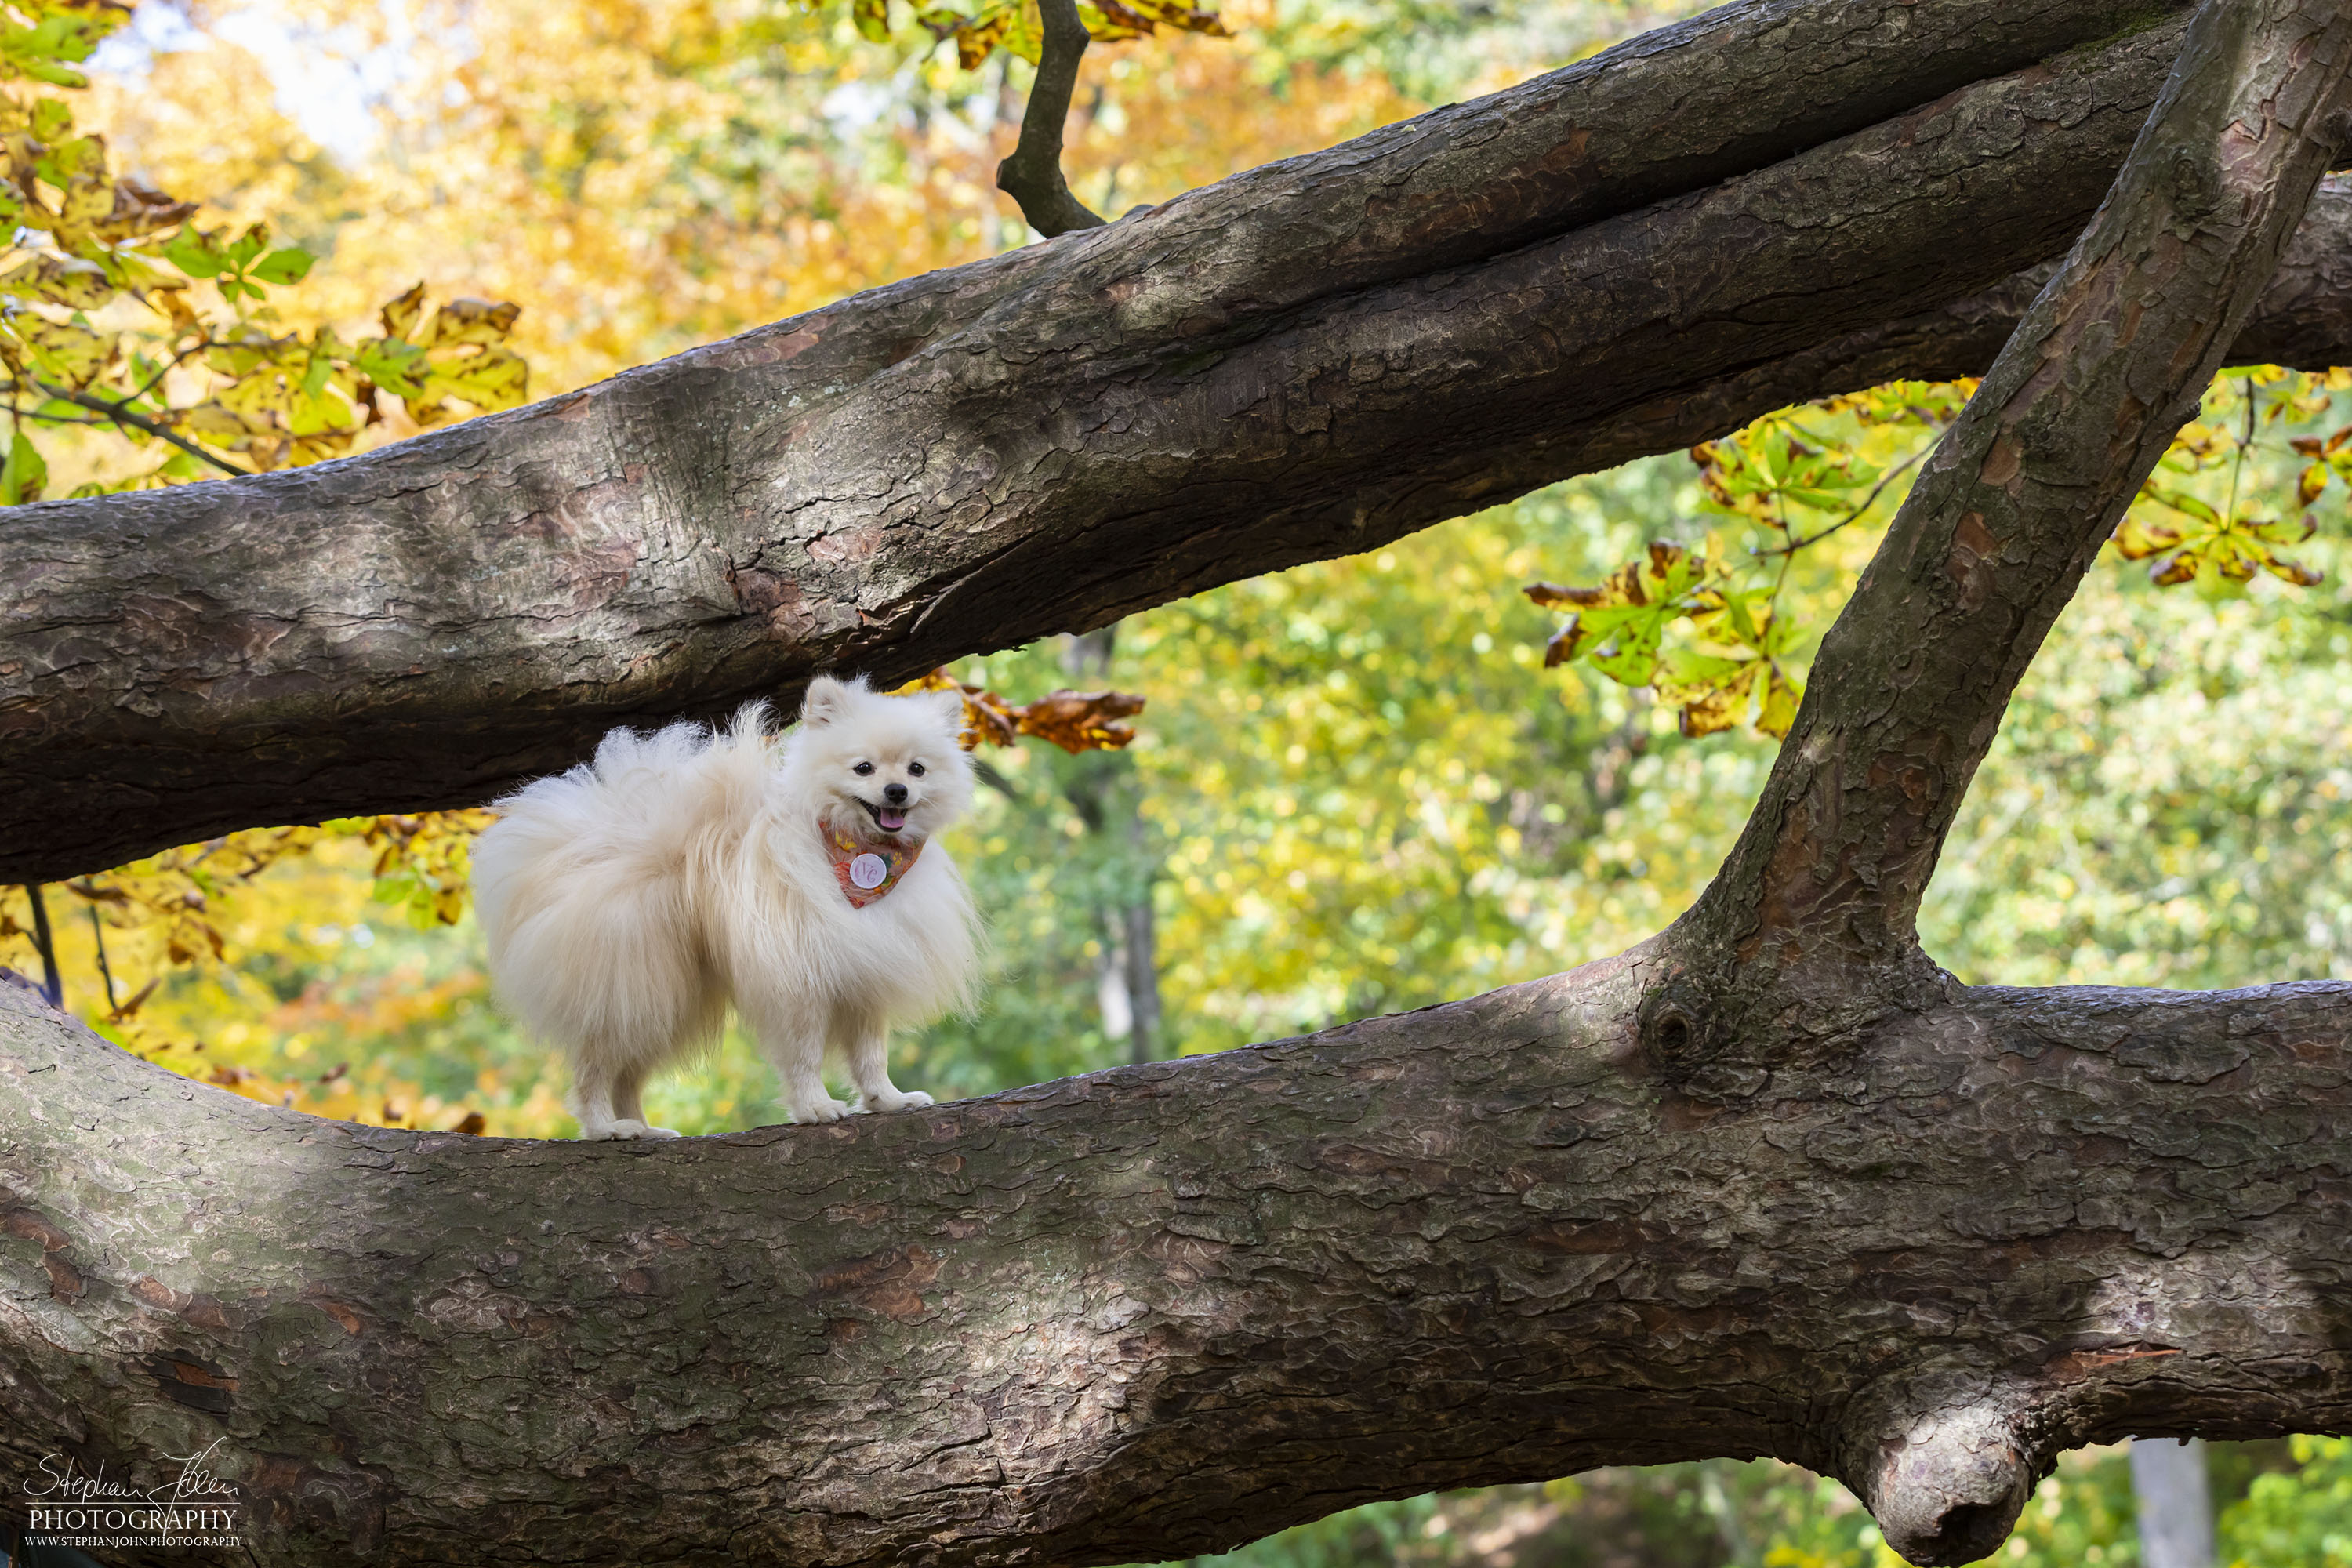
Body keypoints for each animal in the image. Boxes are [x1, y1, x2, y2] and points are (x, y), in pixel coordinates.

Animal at [473, 677, 978, 1142]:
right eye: (863, 768)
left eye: (917, 769)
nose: (895, 790)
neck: (852, 850)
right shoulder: (799, 982)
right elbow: (804, 1056)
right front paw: (815, 1107)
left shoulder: (865, 977)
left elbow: (872, 1055)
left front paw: (887, 1100)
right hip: (633, 988)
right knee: (594, 1071)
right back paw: (606, 1128)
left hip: (662, 1001)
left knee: (627, 1076)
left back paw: (643, 1129)